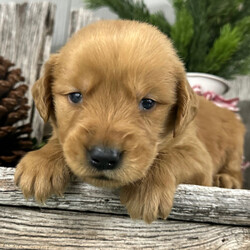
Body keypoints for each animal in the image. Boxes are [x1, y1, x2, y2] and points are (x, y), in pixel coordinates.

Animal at [14, 19, 245, 223]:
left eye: (148, 102)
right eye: (76, 96)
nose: (104, 157)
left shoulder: (198, 156)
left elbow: (169, 155)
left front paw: (146, 190)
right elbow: (61, 140)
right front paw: (42, 162)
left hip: (235, 143)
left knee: (234, 169)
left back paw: (226, 180)